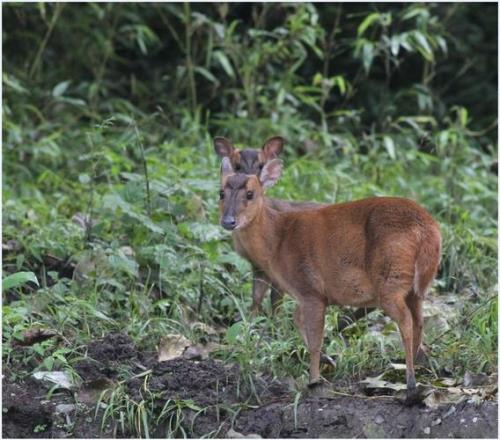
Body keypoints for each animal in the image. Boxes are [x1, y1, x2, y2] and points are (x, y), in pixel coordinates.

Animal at [214, 137, 376, 330]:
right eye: (221, 193)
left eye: (250, 193)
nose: (228, 221)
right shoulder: (259, 267)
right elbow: (256, 299)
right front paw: (249, 325)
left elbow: (275, 301)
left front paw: (275, 328)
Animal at [219, 156, 442, 406]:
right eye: (221, 192)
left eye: (250, 194)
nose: (228, 221)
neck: (277, 241)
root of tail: (428, 230)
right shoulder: (307, 294)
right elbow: (297, 320)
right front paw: (329, 361)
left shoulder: (310, 289)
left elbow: (315, 339)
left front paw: (314, 382)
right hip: (416, 287)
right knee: (419, 321)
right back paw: (419, 369)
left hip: (390, 280)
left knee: (405, 321)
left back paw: (410, 385)